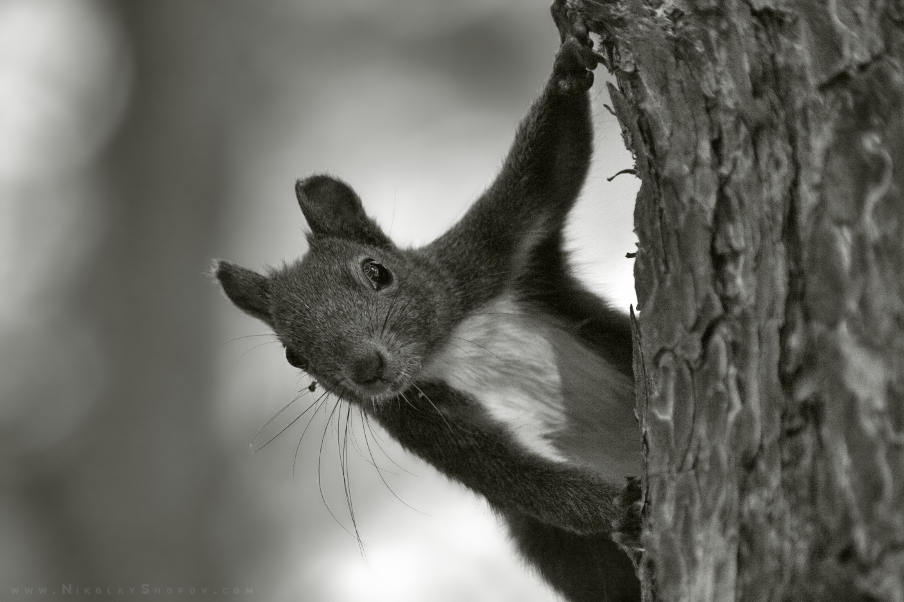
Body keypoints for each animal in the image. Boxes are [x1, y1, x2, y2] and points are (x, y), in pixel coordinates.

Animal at [214, 2, 644, 596]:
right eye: (292, 355)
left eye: (377, 272)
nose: (366, 368)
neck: (445, 348)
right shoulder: (419, 420)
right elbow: (526, 483)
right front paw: (621, 508)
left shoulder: (483, 255)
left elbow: (550, 166)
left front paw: (570, 58)